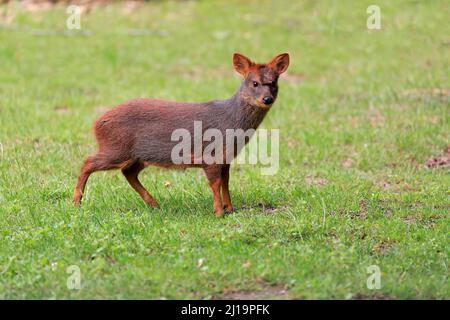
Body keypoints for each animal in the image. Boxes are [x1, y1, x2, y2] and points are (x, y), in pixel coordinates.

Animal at [73, 53, 290, 218]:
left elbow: (226, 182)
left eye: (274, 82)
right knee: (88, 161)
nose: (267, 99)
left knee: (128, 173)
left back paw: (154, 204)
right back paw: (76, 202)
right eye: (254, 82)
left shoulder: (225, 158)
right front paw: (218, 213)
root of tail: (97, 123)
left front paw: (230, 208)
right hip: (116, 148)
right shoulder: (210, 154)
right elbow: (215, 183)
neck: (230, 122)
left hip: (138, 155)